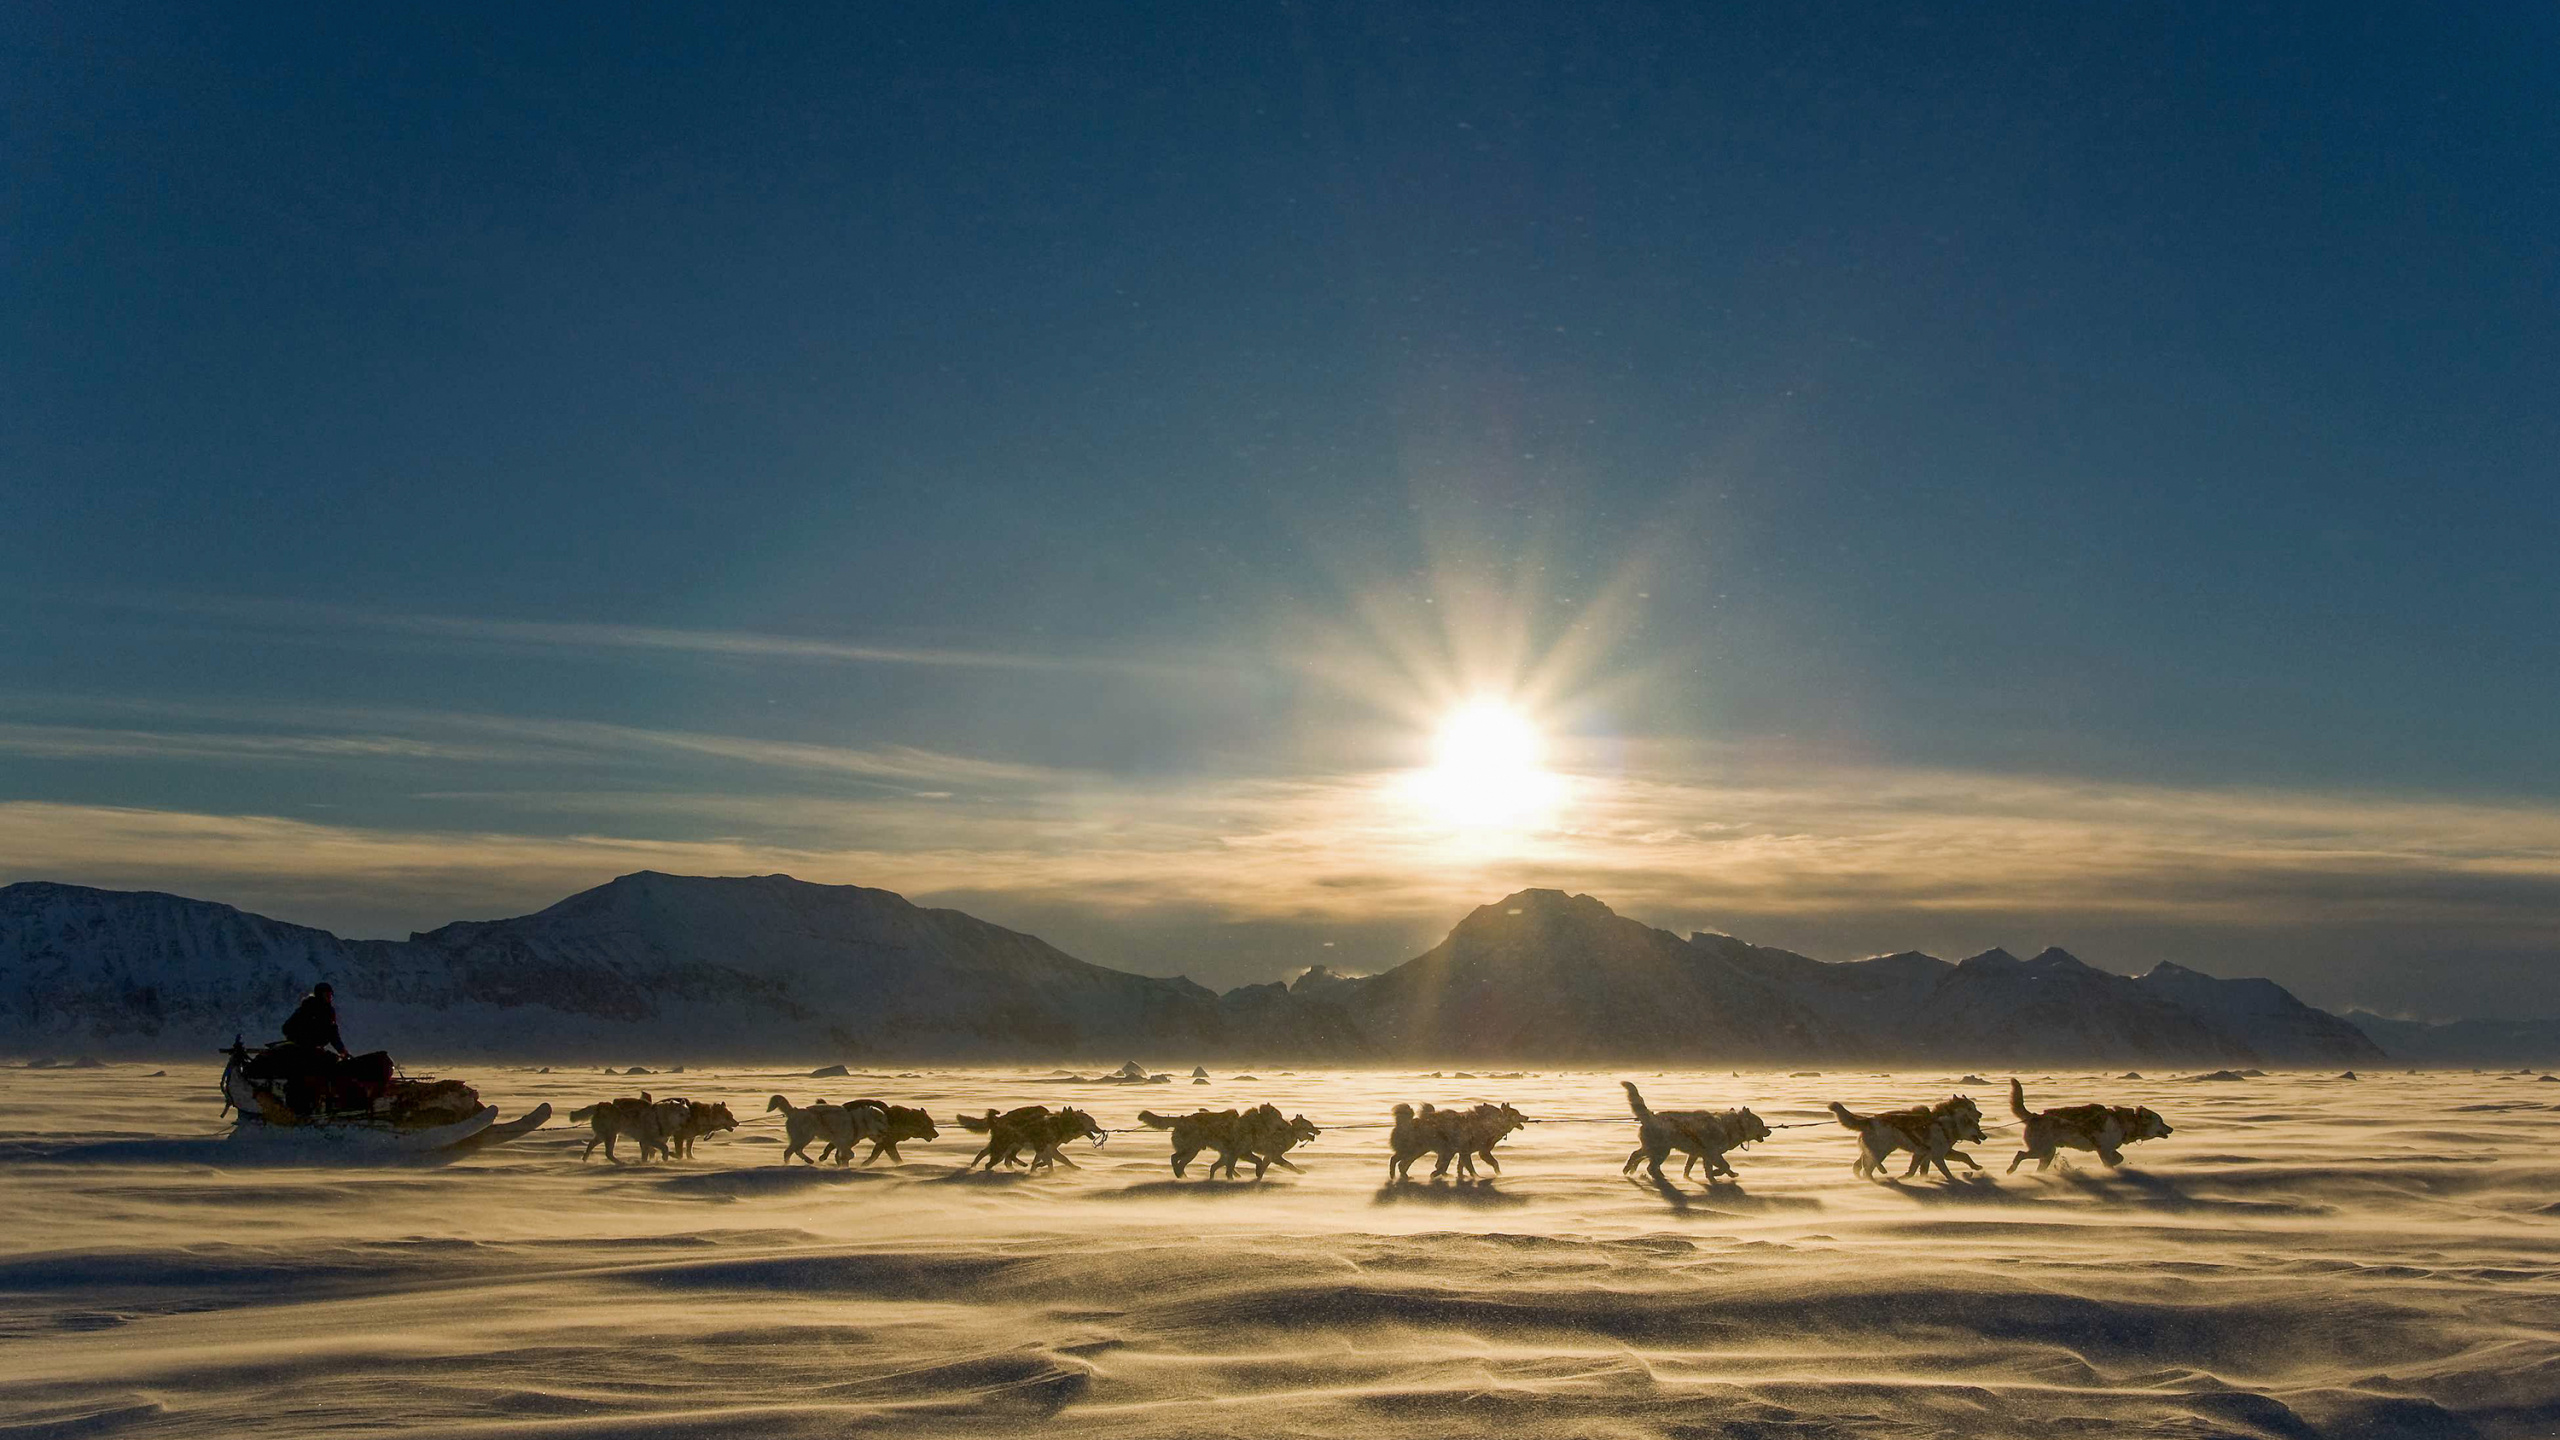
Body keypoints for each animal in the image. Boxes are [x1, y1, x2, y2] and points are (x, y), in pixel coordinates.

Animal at [1617, 1076, 1761, 1178]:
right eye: (1761, 1123)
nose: (1767, 1129)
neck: (1730, 1125)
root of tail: (1651, 1117)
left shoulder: (1697, 1155)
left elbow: (1693, 1168)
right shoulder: (1713, 1153)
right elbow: (1724, 1166)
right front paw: (1728, 1174)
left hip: (1653, 1149)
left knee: (1637, 1156)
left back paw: (1629, 1170)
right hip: (1660, 1150)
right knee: (1648, 1165)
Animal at [1832, 1086, 1986, 1178]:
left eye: (1974, 1107)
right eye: (1970, 1108)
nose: (1981, 1114)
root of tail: (1870, 1119)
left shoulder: (1928, 1155)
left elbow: (1964, 1156)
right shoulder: (1937, 1155)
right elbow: (1949, 1169)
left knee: (1859, 1164)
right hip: (1882, 1150)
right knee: (1868, 1166)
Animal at [2007, 1076, 2170, 1168]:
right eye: (2161, 1121)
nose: (2172, 1129)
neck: (2122, 1123)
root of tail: (2035, 1116)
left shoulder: (2108, 1149)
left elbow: (2119, 1157)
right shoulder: (2103, 1150)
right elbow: (2111, 1162)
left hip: (2047, 1154)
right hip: (2042, 1150)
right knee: (2020, 1154)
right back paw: (2011, 1169)